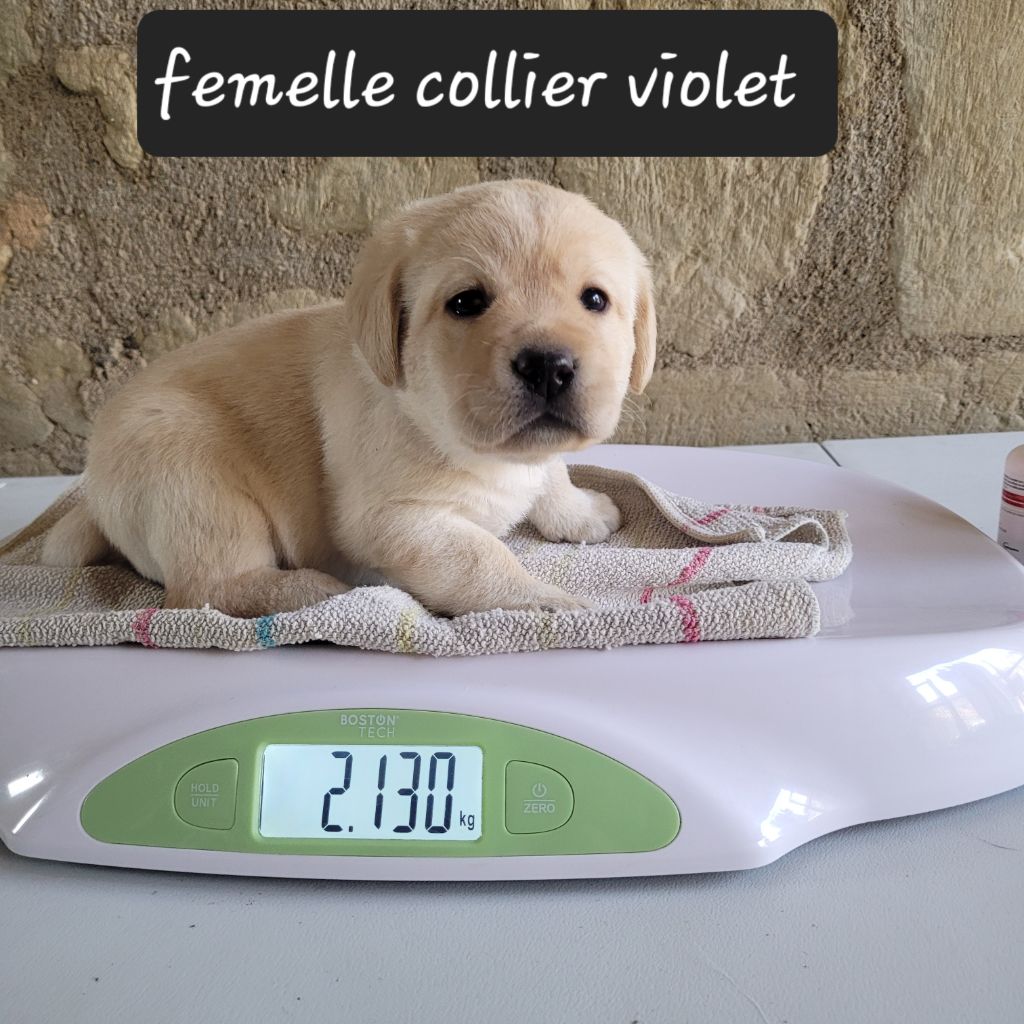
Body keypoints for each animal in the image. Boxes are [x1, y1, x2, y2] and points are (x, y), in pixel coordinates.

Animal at [42, 179, 656, 617]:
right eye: (466, 302)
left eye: (594, 299)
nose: (549, 366)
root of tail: (95, 498)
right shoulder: (394, 520)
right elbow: (481, 558)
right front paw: (544, 601)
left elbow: (552, 474)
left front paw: (579, 512)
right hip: (189, 474)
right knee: (209, 589)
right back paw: (318, 592)